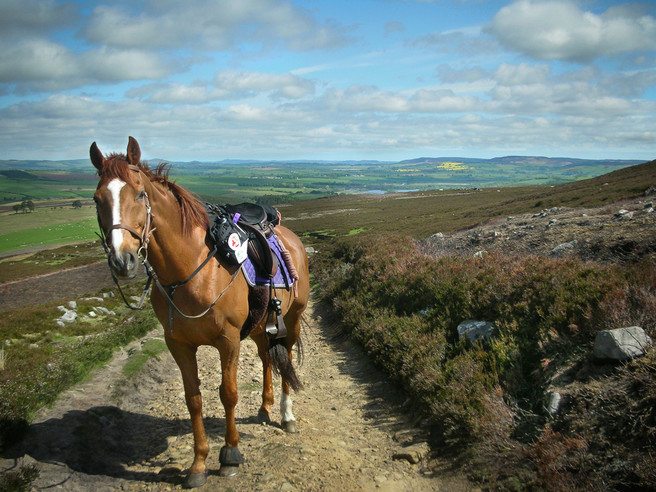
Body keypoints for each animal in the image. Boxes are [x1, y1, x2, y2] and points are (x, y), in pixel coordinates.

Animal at [89, 135, 310, 488]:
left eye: (140, 193)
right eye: (97, 199)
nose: (123, 261)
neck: (191, 271)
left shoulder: (228, 340)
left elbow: (228, 393)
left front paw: (230, 455)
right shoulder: (179, 345)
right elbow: (193, 398)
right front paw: (198, 464)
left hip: (292, 318)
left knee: (285, 357)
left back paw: (286, 415)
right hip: (260, 326)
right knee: (266, 358)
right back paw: (264, 408)